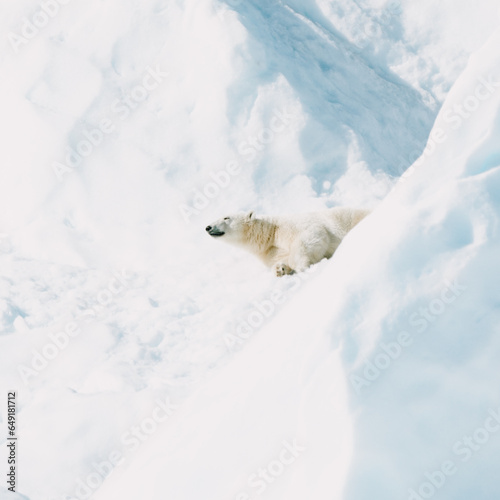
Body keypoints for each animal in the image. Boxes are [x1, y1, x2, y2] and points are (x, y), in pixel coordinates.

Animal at [204, 207, 372, 278]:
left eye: (226, 217)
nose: (208, 227)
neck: (269, 233)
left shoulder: (291, 226)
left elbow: (311, 235)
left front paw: (301, 266)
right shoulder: (270, 251)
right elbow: (280, 259)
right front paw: (280, 269)